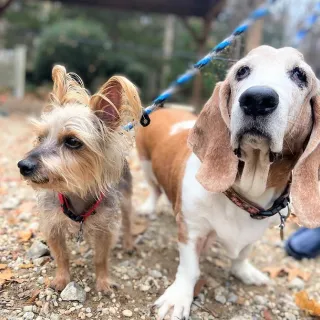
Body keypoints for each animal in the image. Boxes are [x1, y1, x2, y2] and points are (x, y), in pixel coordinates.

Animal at [136, 45, 320, 320]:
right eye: (242, 71)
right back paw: (148, 208)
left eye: (300, 75)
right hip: (146, 165)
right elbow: (189, 269)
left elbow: (242, 254)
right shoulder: (192, 230)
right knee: (154, 189)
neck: (245, 193)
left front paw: (244, 271)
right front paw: (178, 298)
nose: (257, 99)